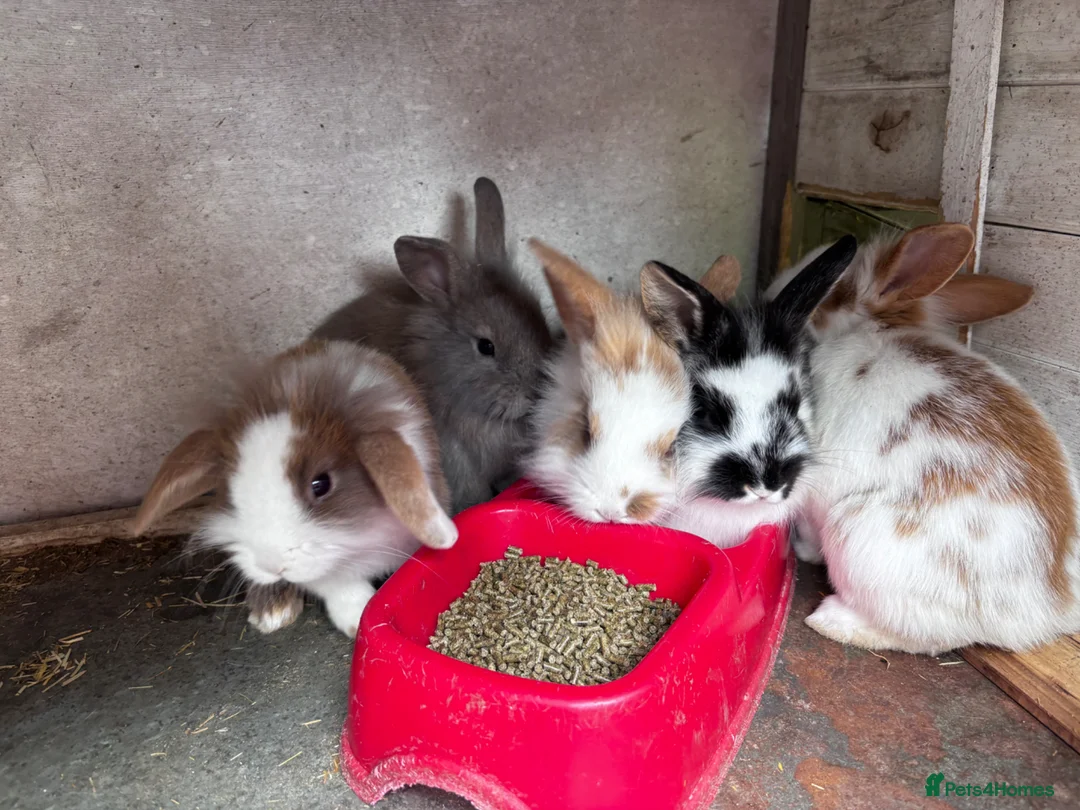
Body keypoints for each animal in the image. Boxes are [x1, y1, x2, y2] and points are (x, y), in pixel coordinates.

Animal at [130, 339, 458, 638]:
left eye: (321, 484)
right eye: (230, 490)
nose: (271, 564)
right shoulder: (325, 571)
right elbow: (340, 587)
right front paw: (357, 622)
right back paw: (272, 613)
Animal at [767, 223, 1080, 655]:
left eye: (835, 291)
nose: (770, 289)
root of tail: (1051, 611)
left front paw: (800, 549)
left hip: (856, 537)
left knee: (921, 637)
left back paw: (832, 620)